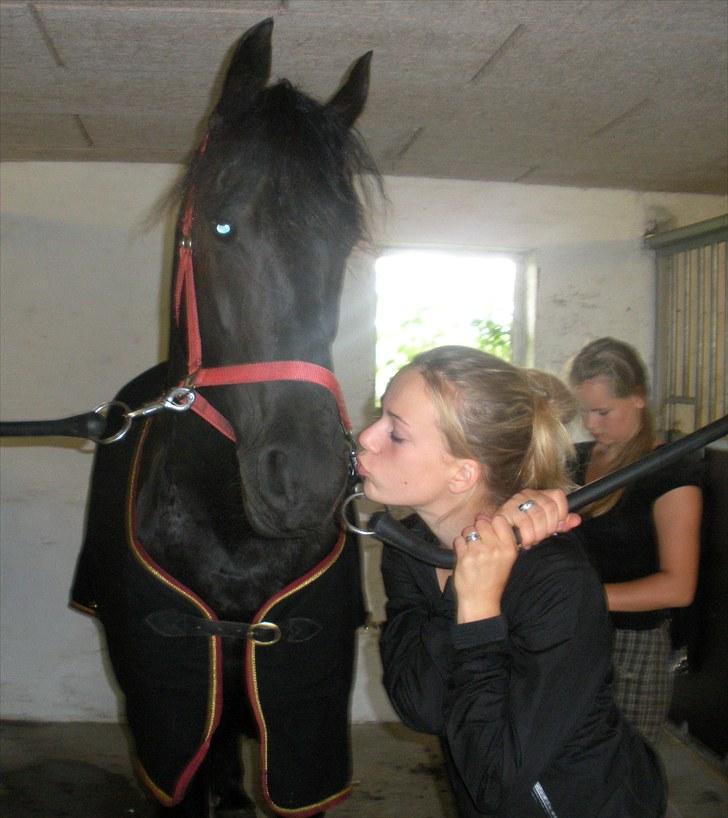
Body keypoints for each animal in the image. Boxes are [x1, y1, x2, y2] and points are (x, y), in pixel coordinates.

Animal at [72, 19, 382, 816]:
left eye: (346, 237)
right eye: (220, 226)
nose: (304, 482)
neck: (232, 530)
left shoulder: (304, 729)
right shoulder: (173, 718)